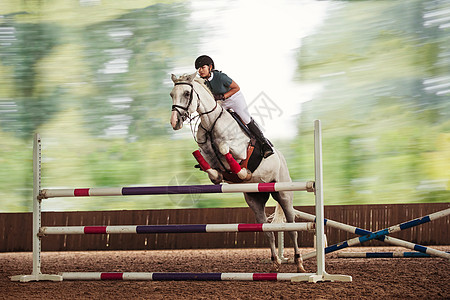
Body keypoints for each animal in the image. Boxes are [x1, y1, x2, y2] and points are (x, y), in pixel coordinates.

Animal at [170, 72, 306, 272]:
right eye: (172, 94)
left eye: (187, 93)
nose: (175, 122)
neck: (211, 124)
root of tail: (282, 160)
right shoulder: (207, 153)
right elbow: (207, 163)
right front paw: (220, 175)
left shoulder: (239, 150)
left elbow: (224, 147)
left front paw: (242, 173)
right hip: (255, 199)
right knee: (267, 230)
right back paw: (275, 263)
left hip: (283, 194)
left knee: (292, 229)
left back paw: (299, 264)